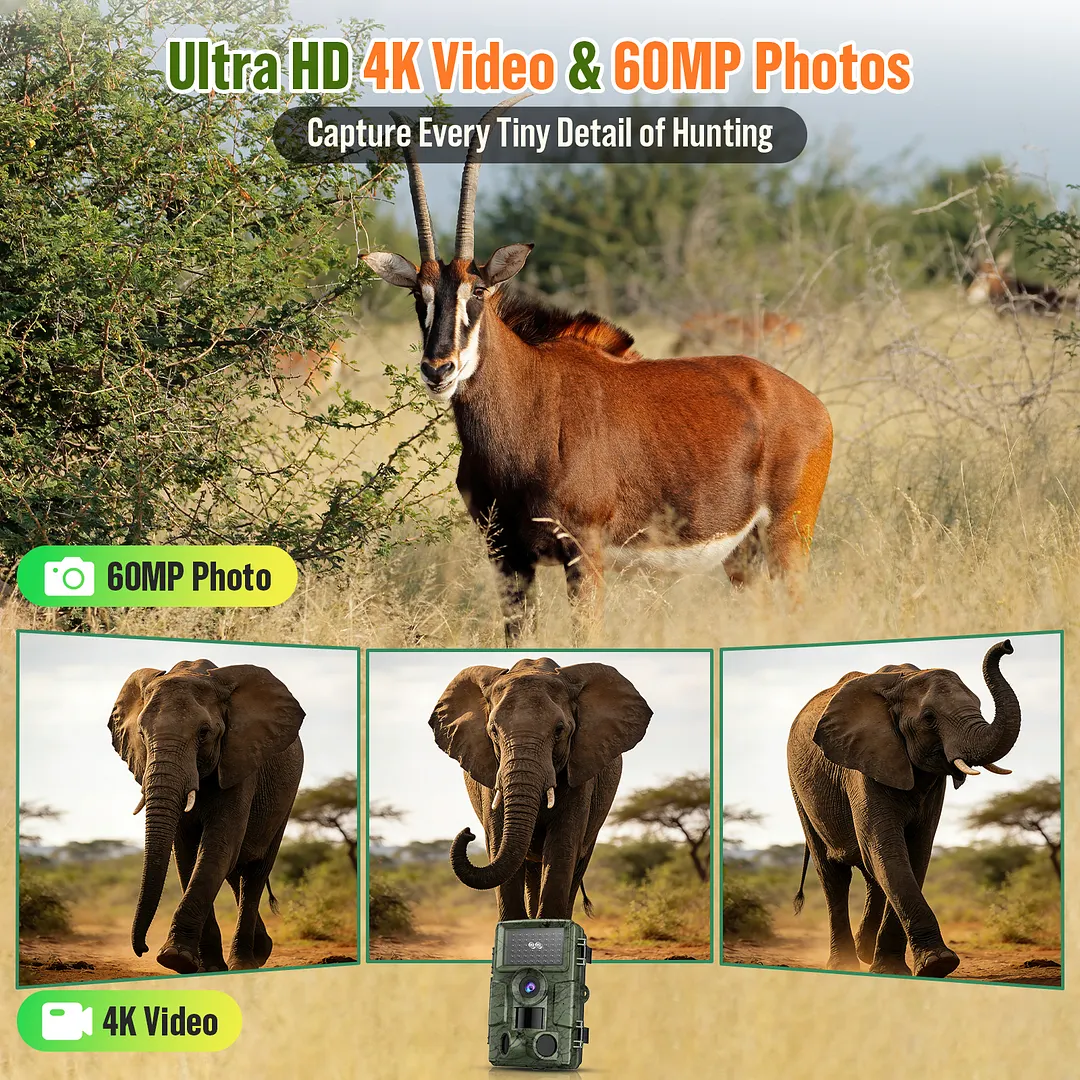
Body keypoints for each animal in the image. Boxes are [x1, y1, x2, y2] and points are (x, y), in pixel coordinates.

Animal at [362, 95, 833, 644]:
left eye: (477, 291)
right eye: (419, 296)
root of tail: (812, 406)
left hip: (787, 537)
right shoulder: (506, 556)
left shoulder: (584, 551)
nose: (439, 369)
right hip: (742, 554)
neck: (528, 409)